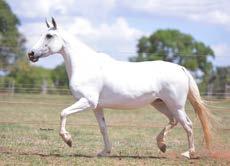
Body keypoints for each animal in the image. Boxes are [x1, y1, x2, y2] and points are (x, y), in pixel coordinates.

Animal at [27, 17, 211, 158]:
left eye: (49, 35)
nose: (31, 54)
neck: (85, 65)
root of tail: (181, 68)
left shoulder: (87, 101)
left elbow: (63, 113)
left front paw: (68, 140)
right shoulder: (96, 107)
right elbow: (103, 128)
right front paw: (104, 152)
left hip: (176, 105)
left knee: (188, 125)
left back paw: (188, 153)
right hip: (160, 103)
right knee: (173, 121)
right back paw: (162, 145)